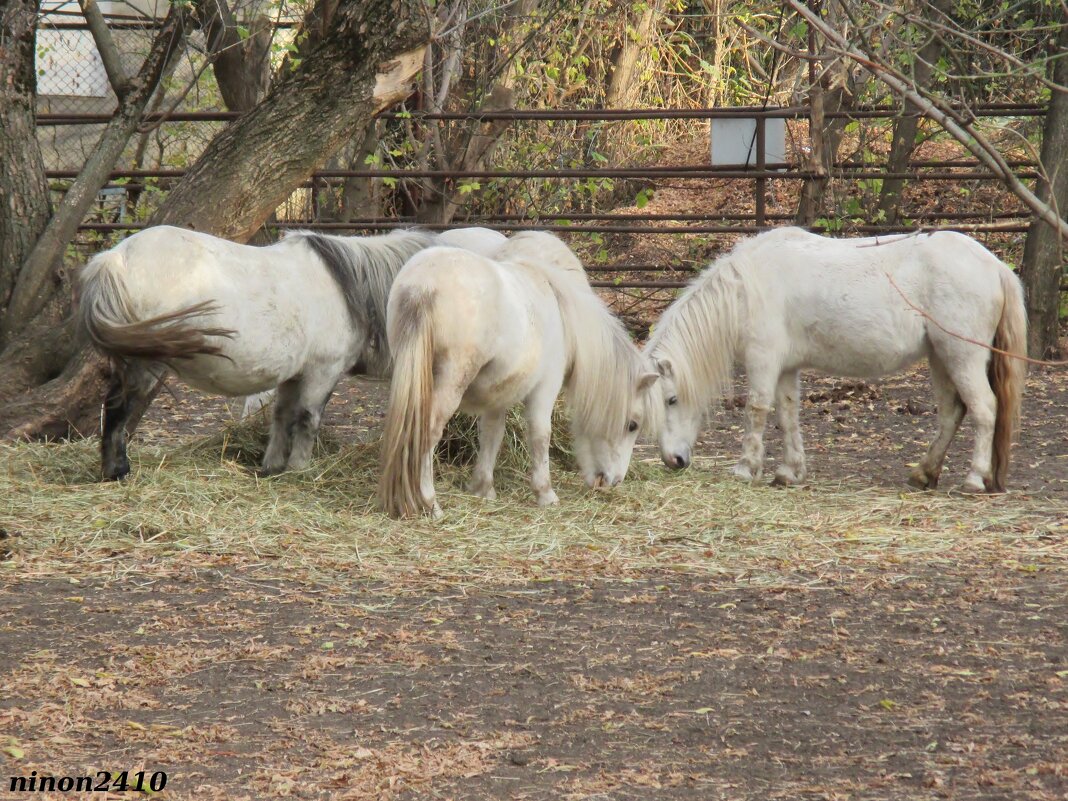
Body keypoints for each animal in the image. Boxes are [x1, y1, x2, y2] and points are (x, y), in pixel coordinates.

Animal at [79, 223, 504, 480]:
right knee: (118, 411)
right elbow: (307, 419)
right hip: (145, 364)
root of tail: (114, 258)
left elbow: (281, 417)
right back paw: (117, 470)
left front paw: (272, 466)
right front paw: (300, 469)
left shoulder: (292, 376)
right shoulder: (322, 372)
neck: (345, 284)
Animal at [375, 231, 657, 521]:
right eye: (632, 425)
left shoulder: (497, 394)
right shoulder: (545, 389)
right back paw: (431, 503)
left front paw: (483, 488)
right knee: (428, 432)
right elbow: (540, 436)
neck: (561, 312)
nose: (613, 481)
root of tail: (423, 285)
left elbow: (491, 433)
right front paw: (545, 493)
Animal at [645, 226, 1029, 499]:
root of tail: (995, 266)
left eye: (672, 400)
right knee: (951, 413)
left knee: (984, 410)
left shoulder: (763, 360)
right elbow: (788, 415)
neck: (746, 290)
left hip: (962, 356)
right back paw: (924, 473)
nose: (674, 461)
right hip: (941, 357)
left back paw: (974, 479)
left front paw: (745, 468)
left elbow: (756, 410)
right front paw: (790, 472)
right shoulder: (786, 368)